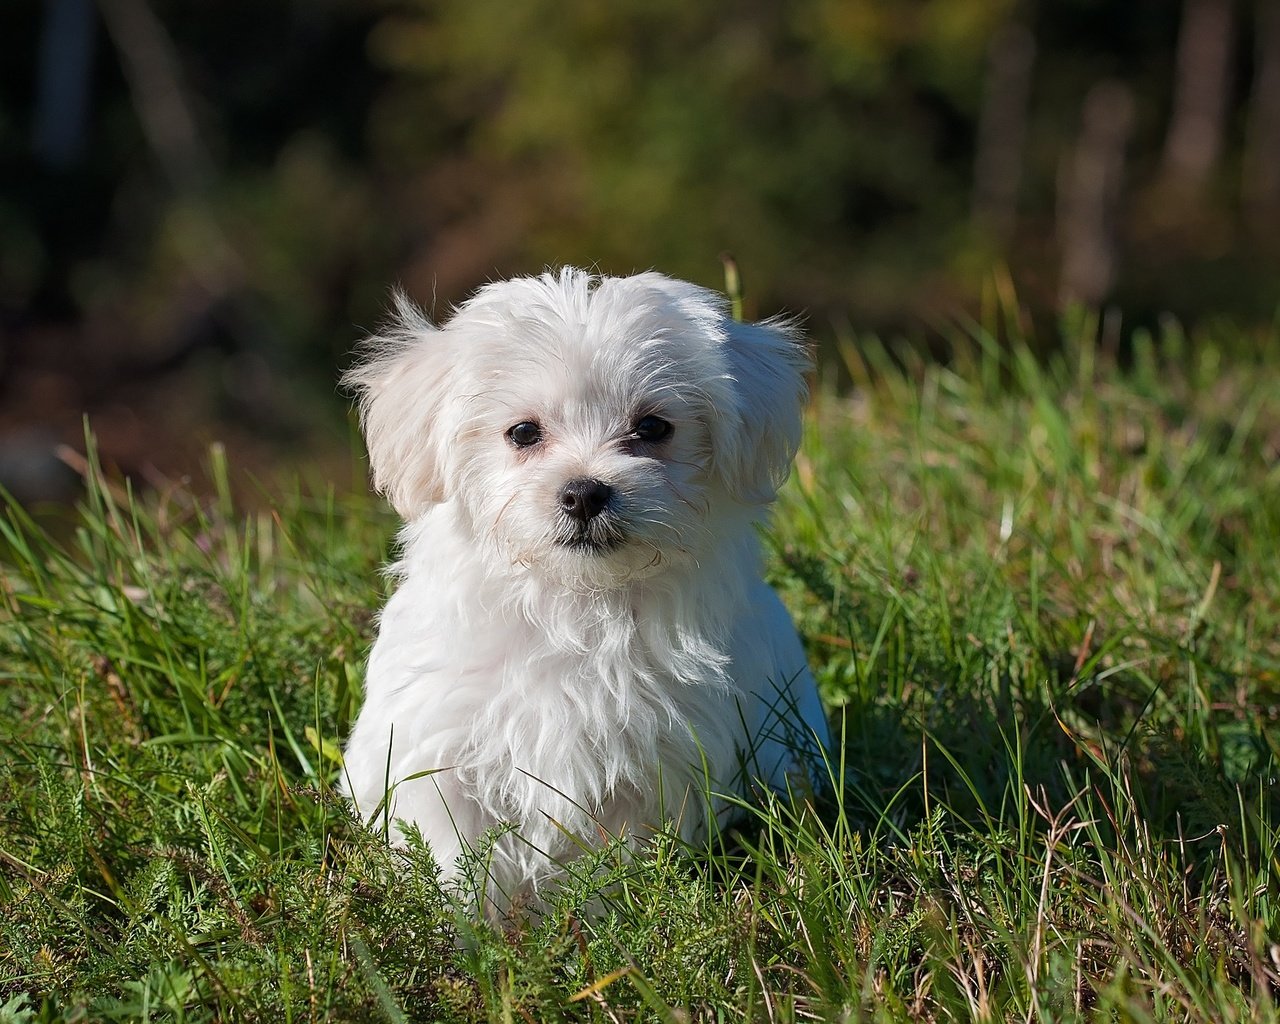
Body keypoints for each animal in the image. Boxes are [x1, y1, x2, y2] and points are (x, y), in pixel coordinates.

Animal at [340, 267, 829, 906]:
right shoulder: (438, 750)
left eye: (653, 427)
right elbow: (454, 858)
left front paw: (606, 916)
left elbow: (614, 863)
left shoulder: (655, 765)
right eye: (523, 432)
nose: (584, 492)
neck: (576, 603)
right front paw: (468, 927)